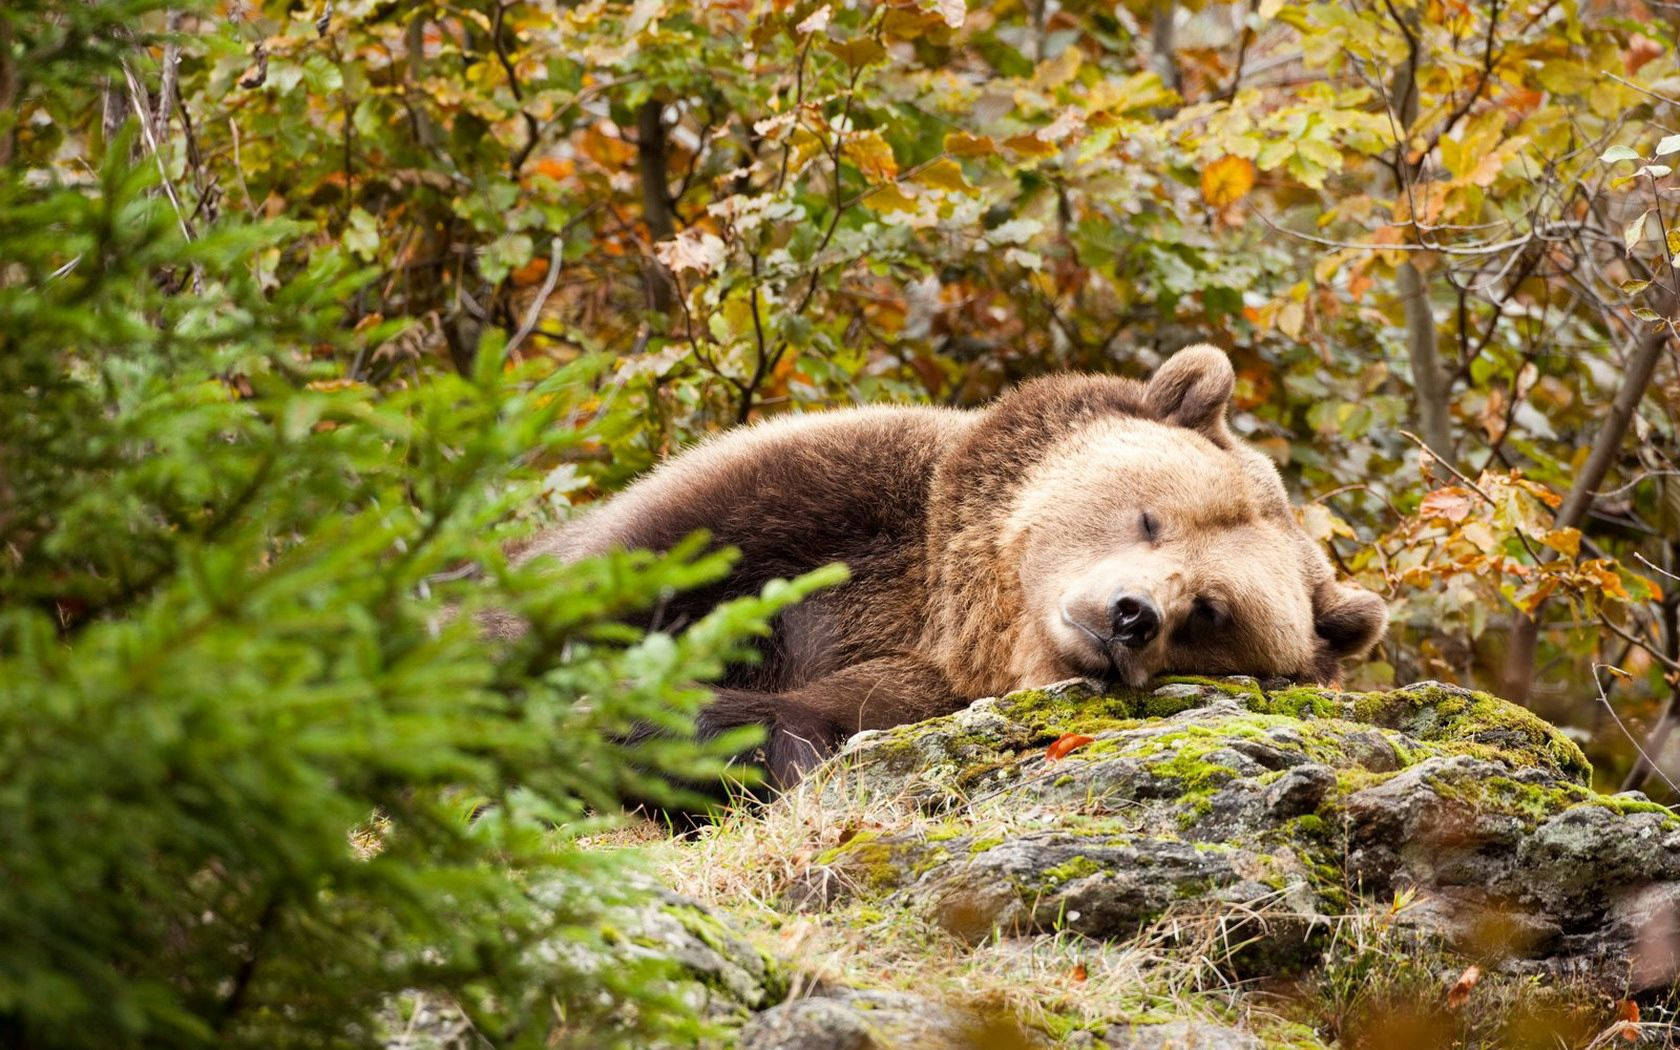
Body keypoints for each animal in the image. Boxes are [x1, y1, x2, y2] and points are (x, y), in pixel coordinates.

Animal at [510, 345, 1389, 788]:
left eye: (1212, 609)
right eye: (1152, 518)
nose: (1131, 615)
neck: (949, 604)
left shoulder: (924, 688)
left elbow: (793, 724)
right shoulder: (822, 497)